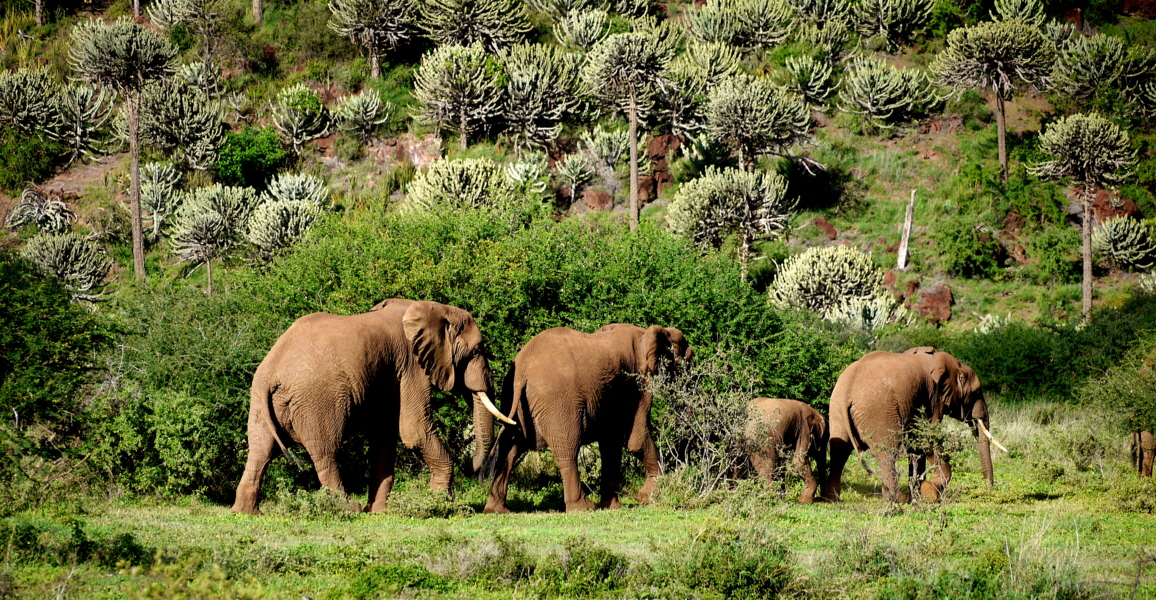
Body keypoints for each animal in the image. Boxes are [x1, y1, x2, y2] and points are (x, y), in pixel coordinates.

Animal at [230, 298, 510, 513]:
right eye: (476, 351)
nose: (472, 467)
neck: (435, 309)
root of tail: (272, 371)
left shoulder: (389, 373)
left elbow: (384, 436)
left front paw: (379, 511)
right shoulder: (412, 365)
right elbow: (414, 432)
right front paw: (440, 504)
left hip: (259, 403)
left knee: (260, 450)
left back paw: (246, 512)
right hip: (315, 400)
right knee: (326, 452)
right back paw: (348, 508)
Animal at [483, 321, 688, 513]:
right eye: (685, 351)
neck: (646, 332)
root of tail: (522, 371)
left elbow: (610, 444)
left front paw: (613, 507)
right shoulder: (638, 382)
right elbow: (635, 440)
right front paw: (648, 498)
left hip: (513, 398)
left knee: (509, 449)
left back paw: (496, 510)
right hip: (558, 402)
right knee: (568, 450)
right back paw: (583, 508)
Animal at [823, 344, 1003, 504]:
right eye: (976, 392)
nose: (987, 490)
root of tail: (848, 389)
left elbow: (916, 443)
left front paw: (919, 493)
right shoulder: (934, 398)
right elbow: (928, 439)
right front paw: (929, 492)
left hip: (837, 407)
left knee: (839, 450)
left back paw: (833, 499)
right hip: (878, 410)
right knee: (887, 452)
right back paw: (898, 500)